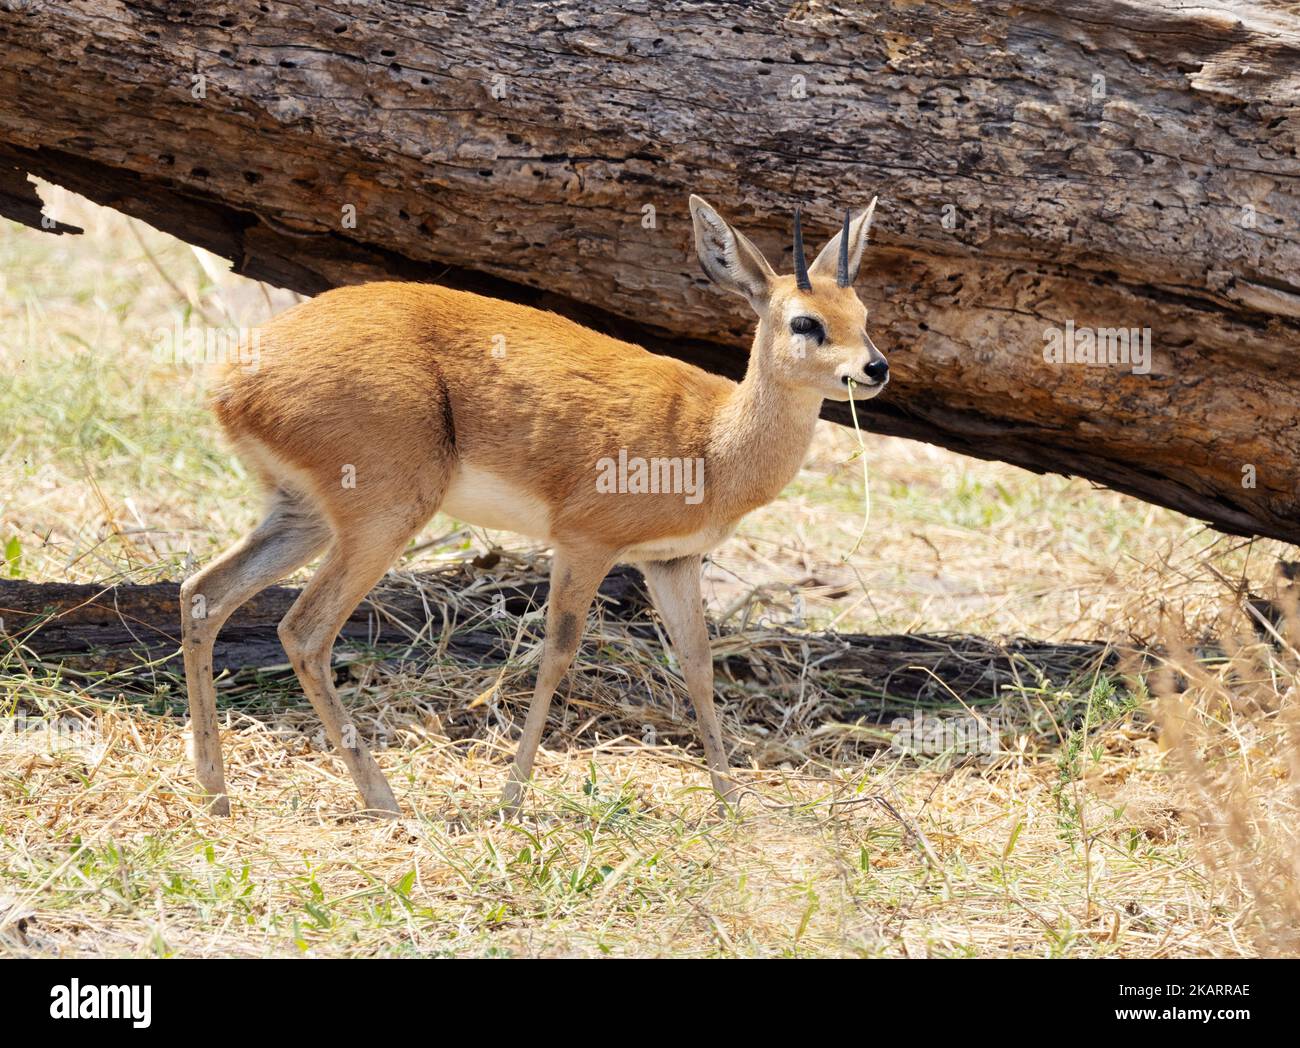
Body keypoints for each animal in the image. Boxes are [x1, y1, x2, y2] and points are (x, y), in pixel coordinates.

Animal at [183, 198, 889, 821]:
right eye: (804, 322)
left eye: (861, 312)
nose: (875, 368)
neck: (712, 439)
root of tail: (234, 380)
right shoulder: (584, 545)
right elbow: (555, 657)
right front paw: (510, 800)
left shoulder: (673, 562)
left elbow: (698, 666)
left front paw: (733, 806)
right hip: (381, 522)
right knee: (304, 631)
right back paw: (384, 803)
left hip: (302, 518)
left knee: (203, 595)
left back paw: (217, 795)